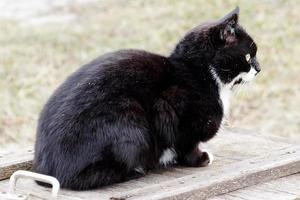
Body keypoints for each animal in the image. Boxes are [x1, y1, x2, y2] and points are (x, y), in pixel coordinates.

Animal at [33, 7, 260, 190]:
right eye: (248, 57)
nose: (259, 68)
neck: (198, 72)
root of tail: (47, 171)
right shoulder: (171, 110)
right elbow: (187, 142)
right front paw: (199, 158)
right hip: (130, 118)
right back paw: (137, 170)